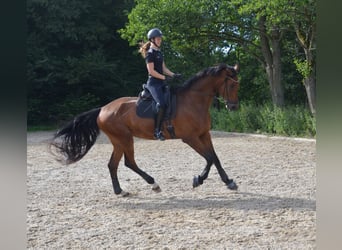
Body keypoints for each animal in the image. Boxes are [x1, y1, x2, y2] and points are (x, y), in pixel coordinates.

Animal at [50, 62, 240, 195]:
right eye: (232, 85)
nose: (233, 107)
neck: (194, 101)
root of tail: (102, 109)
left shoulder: (204, 134)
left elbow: (215, 158)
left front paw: (228, 181)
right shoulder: (190, 138)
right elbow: (209, 158)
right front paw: (198, 180)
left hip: (119, 141)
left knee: (113, 164)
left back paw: (121, 191)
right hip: (124, 138)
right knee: (128, 162)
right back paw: (153, 184)